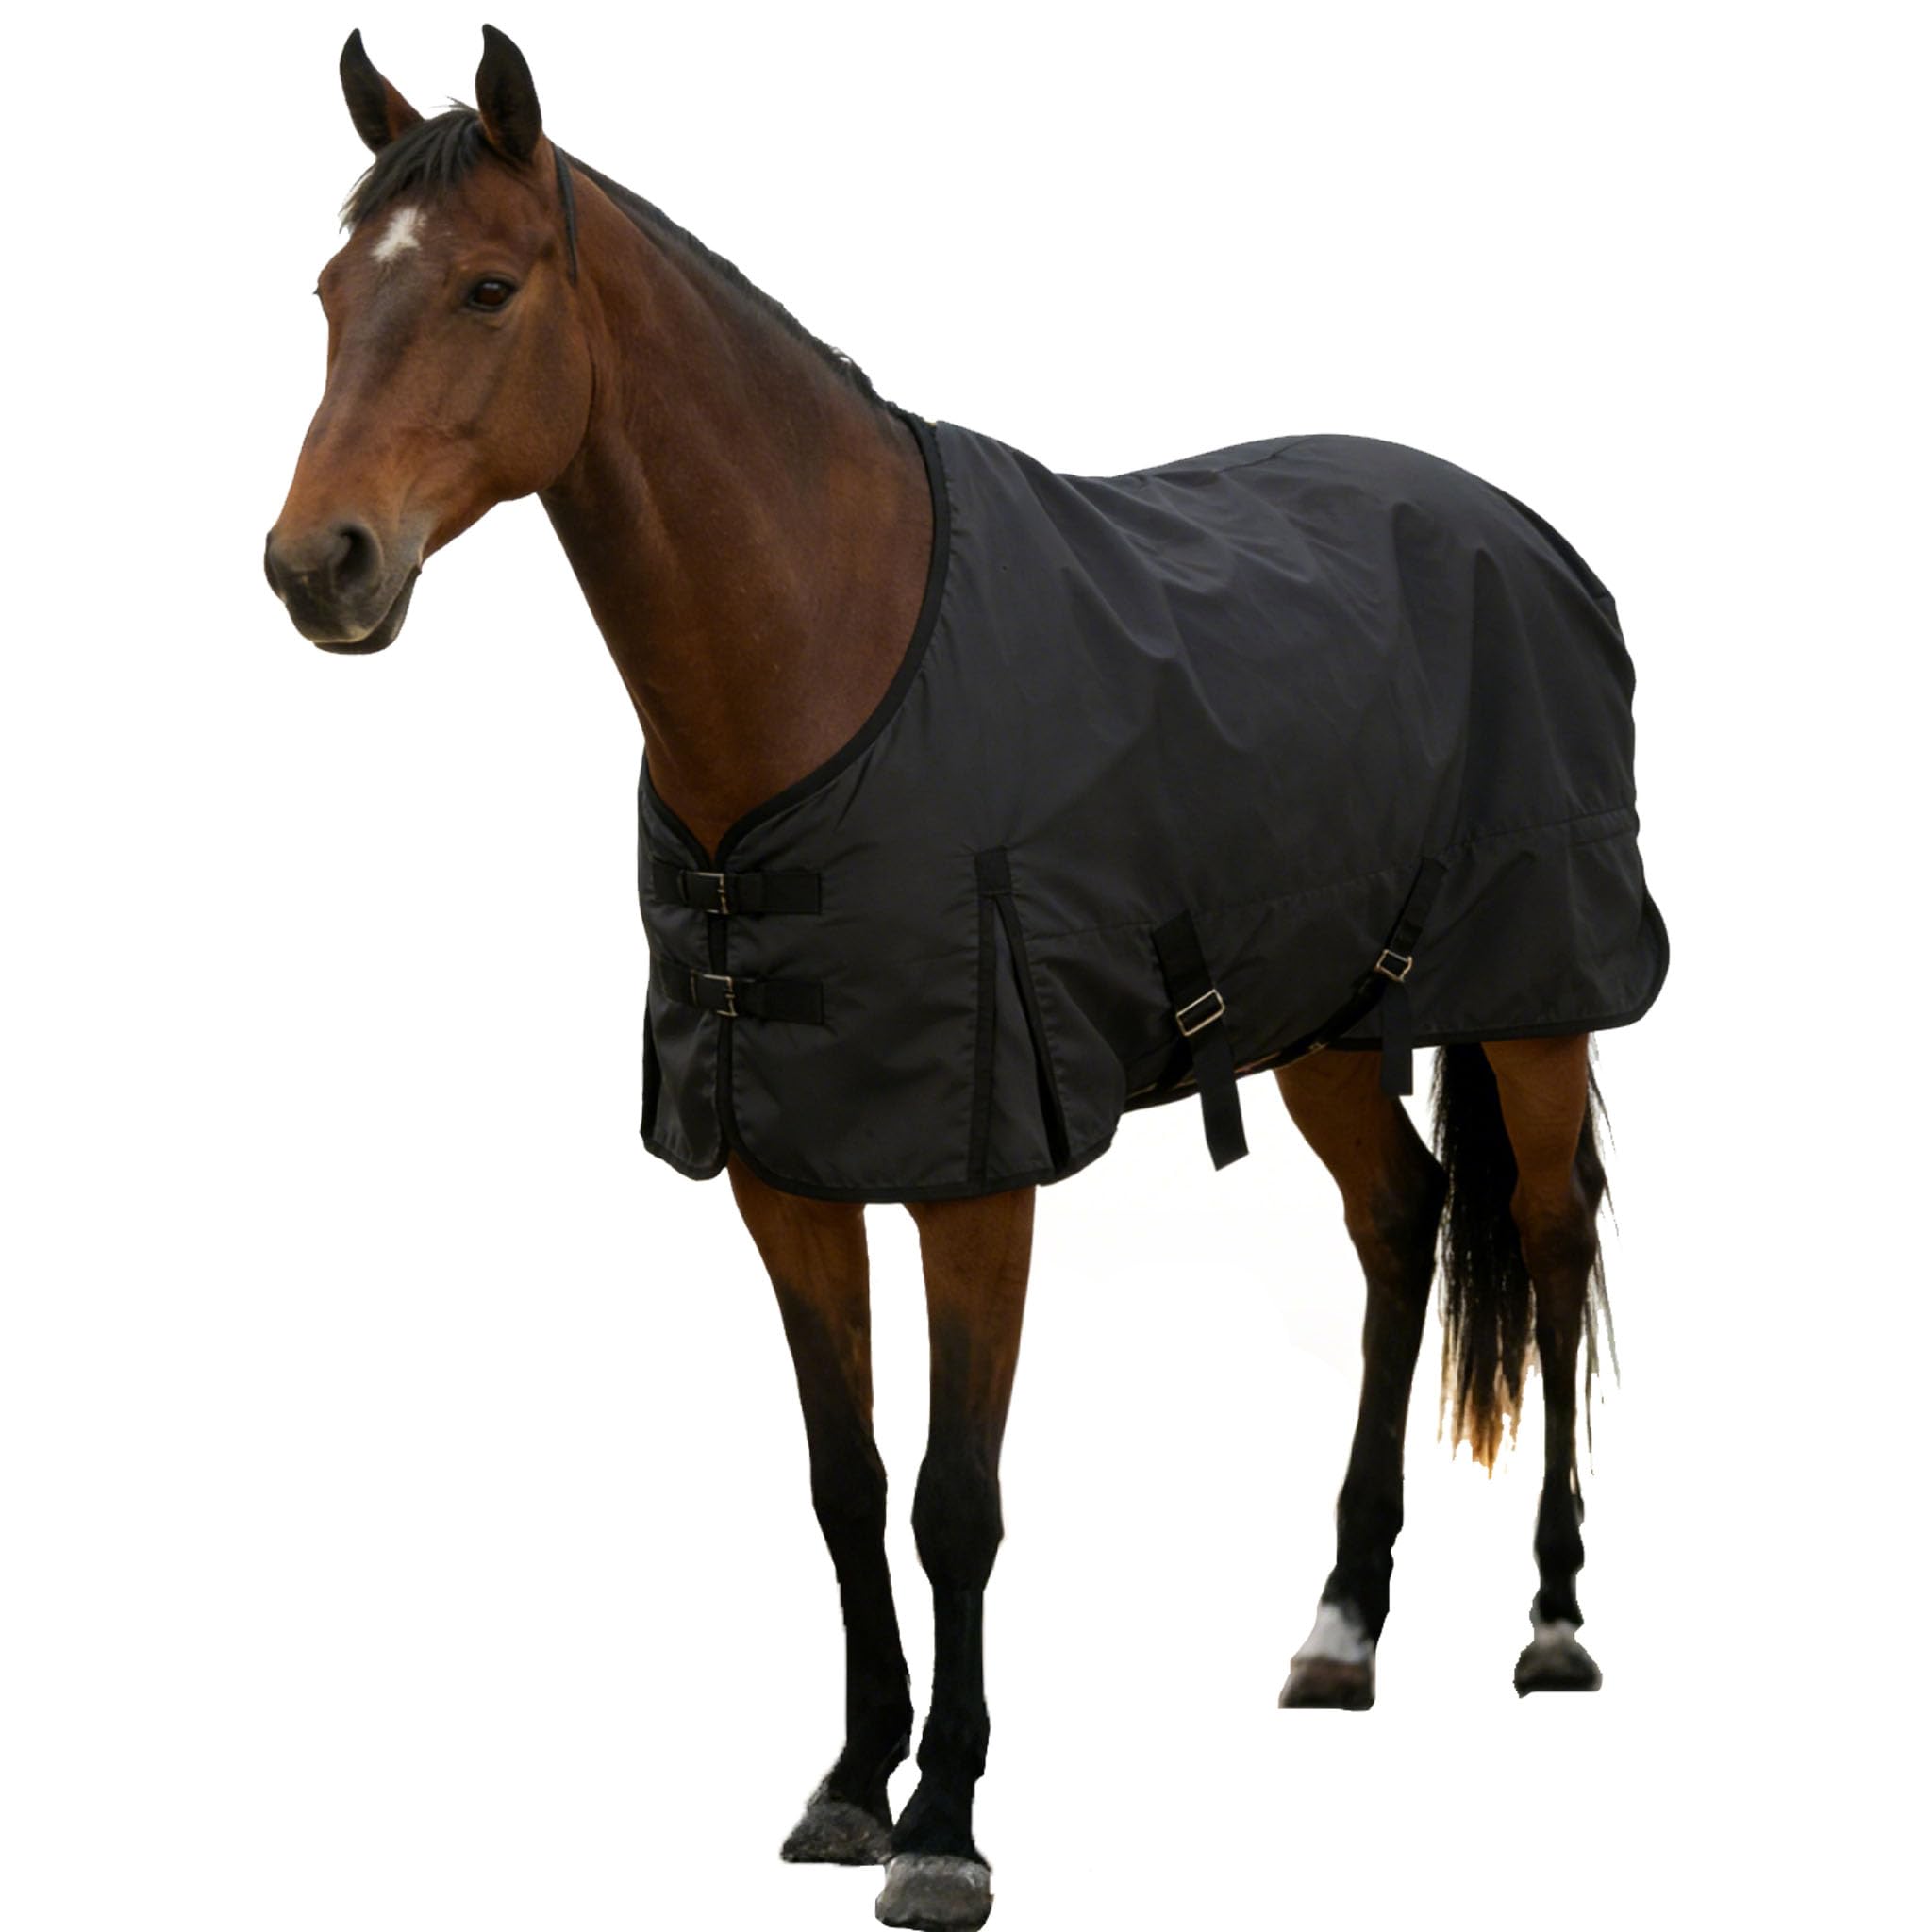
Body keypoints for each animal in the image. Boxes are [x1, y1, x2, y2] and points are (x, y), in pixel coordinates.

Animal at [265, 29, 1662, 1932]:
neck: (824, 664)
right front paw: (851, 1781)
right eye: (334, 294)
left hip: (1534, 994)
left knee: (1546, 1230)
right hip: (1320, 1019)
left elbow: (954, 1500)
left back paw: (1553, 1621)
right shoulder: (783, 1167)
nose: (314, 566)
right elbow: (845, 1484)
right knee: (1403, 1225)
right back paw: (1340, 1627)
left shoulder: (976, 1169)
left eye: (487, 287)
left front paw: (944, 1822)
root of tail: (1511, 523)